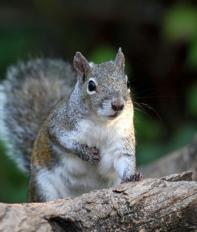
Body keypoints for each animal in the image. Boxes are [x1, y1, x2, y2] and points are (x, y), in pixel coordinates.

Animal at [0, 48, 140, 201]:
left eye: (127, 83)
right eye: (91, 86)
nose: (118, 105)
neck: (102, 122)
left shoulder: (121, 139)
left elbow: (124, 159)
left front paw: (131, 176)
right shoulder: (59, 125)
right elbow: (63, 140)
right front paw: (85, 152)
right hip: (43, 187)